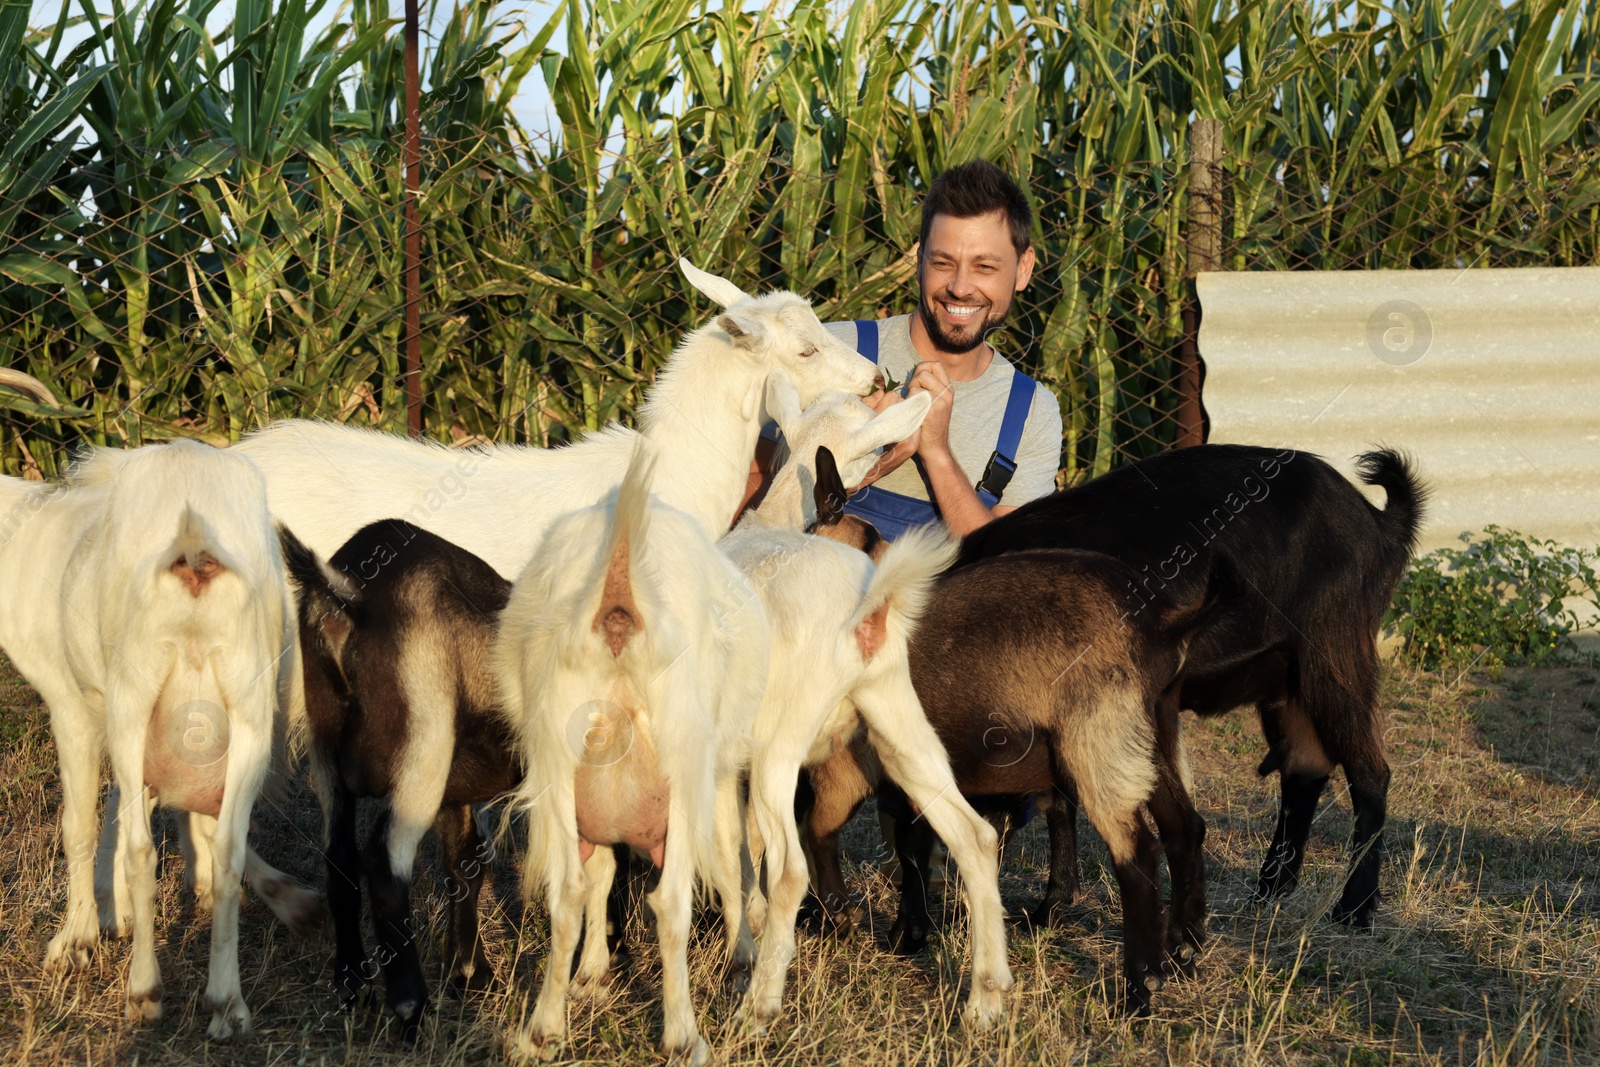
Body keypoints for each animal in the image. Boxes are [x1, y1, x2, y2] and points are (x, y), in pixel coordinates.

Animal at [0, 438, 297, 1036]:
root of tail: (192, 534)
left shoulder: (70, 706)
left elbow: (81, 825)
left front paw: (76, 941)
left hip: (132, 700)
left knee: (141, 849)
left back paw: (144, 993)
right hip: (250, 704)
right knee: (228, 848)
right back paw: (226, 1003)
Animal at [496, 438, 771, 1062]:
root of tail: (618, 599)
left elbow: (599, 877)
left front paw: (592, 974)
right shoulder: (713, 773)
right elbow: (731, 857)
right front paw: (742, 958)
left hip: (558, 750)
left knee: (567, 893)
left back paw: (543, 1031)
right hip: (681, 753)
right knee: (671, 903)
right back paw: (684, 1037)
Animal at [723, 379, 1011, 1030]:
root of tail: (864, 607)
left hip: (783, 739)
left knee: (791, 867)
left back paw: (759, 1007)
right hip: (897, 719)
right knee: (974, 837)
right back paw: (984, 1002)